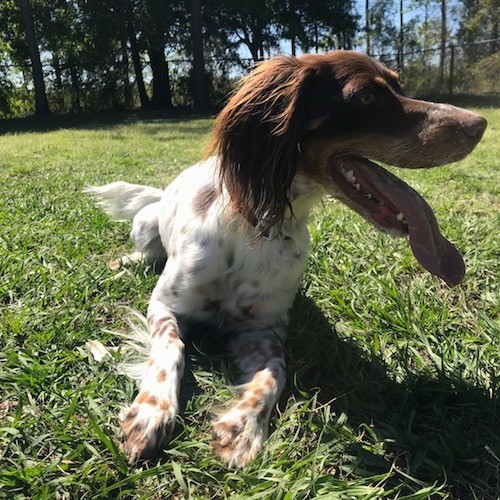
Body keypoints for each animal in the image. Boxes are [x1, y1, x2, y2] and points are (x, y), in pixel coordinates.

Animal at [86, 50, 484, 468]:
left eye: (397, 86)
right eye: (365, 97)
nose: (478, 124)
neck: (258, 227)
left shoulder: (264, 327)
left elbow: (275, 371)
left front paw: (243, 426)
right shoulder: (165, 306)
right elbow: (170, 349)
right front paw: (152, 411)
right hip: (146, 224)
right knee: (144, 252)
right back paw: (124, 265)